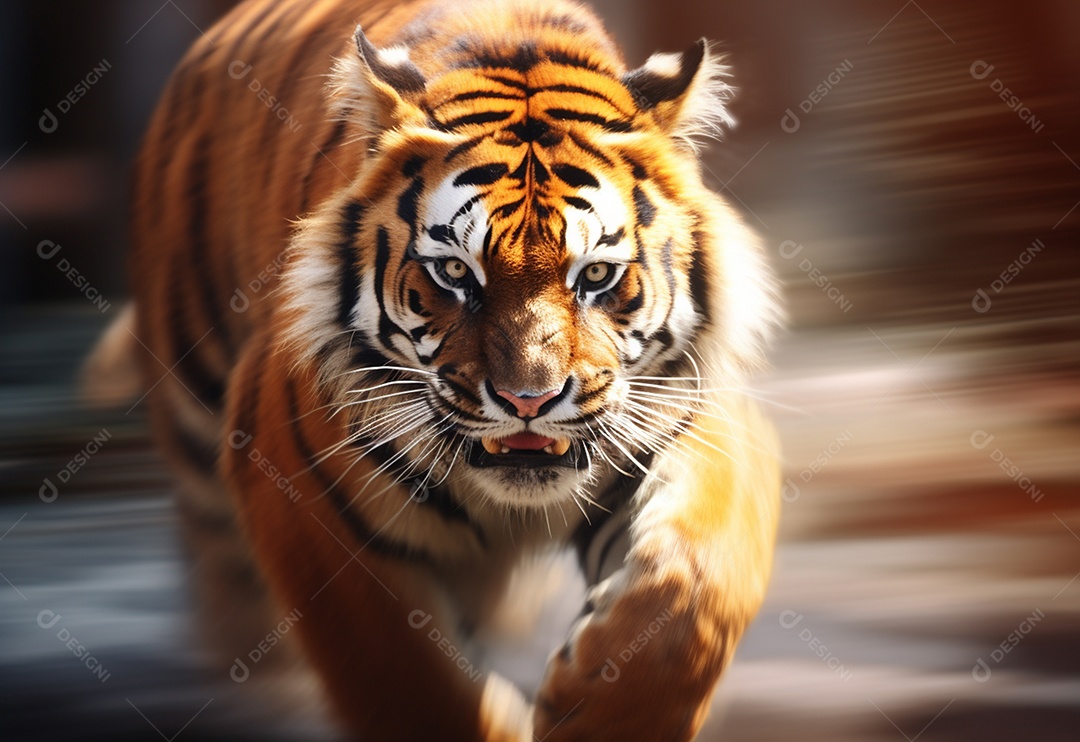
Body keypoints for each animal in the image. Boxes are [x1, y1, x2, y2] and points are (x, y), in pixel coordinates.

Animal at [92, 0, 783, 738]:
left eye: (596, 275)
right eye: (455, 272)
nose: (528, 401)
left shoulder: (694, 420)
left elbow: (694, 587)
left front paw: (593, 714)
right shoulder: (295, 484)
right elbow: (400, 669)